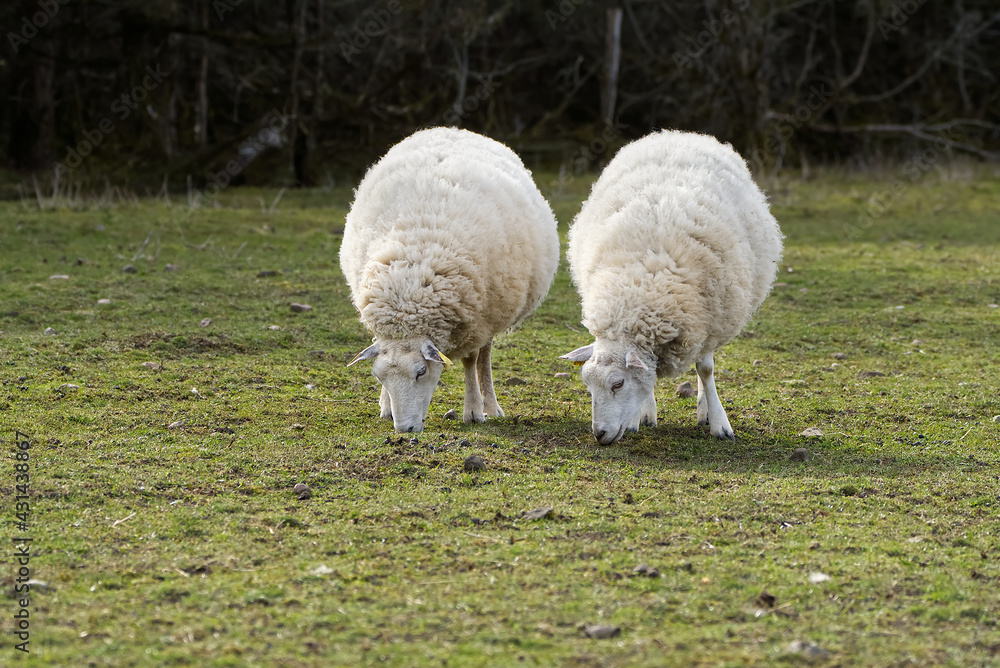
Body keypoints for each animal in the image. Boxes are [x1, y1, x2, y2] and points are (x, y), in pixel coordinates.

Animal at [340, 127, 560, 433]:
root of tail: (454, 129)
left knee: (484, 358)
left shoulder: (476, 319)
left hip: (492, 309)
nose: (404, 430)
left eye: (421, 371)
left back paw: (490, 405)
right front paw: (385, 405)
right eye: (378, 376)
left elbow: (471, 360)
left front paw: (473, 411)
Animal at [560, 129, 783, 445]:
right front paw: (641, 415)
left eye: (617, 384)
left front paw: (719, 422)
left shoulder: (708, 319)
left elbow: (706, 369)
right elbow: (649, 374)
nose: (599, 434)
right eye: (588, 385)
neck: (642, 287)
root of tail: (682, 134)